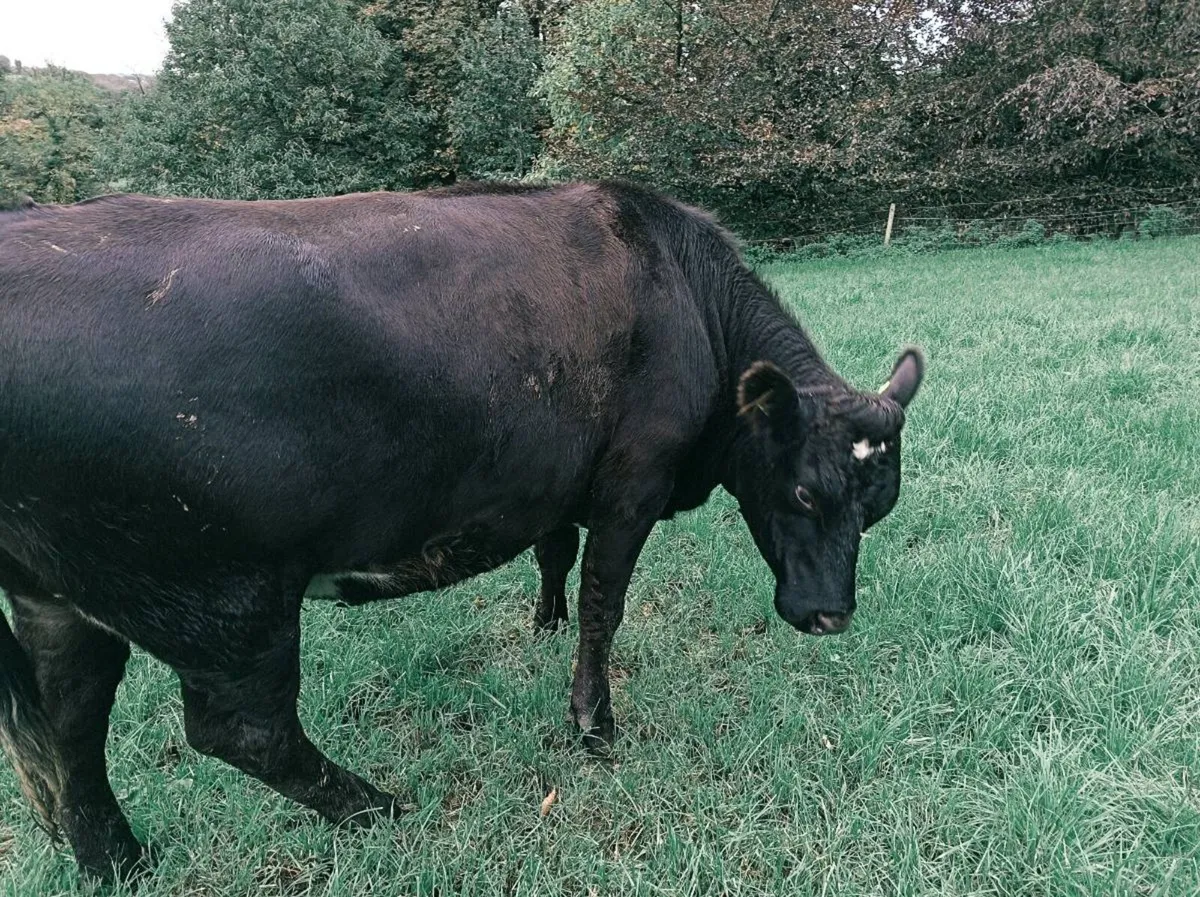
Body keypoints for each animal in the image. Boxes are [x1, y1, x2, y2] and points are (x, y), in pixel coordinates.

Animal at [0, 181, 923, 882]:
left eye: (879, 505)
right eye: (804, 491)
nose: (830, 613)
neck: (686, 293)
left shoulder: (563, 478)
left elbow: (555, 553)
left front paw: (544, 621)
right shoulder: (634, 481)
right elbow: (605, 602)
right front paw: (593, 722)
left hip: (61, 596)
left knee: (71, 721)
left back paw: (116, 860)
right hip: (224, 592)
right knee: (241, 730)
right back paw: (376, 806)